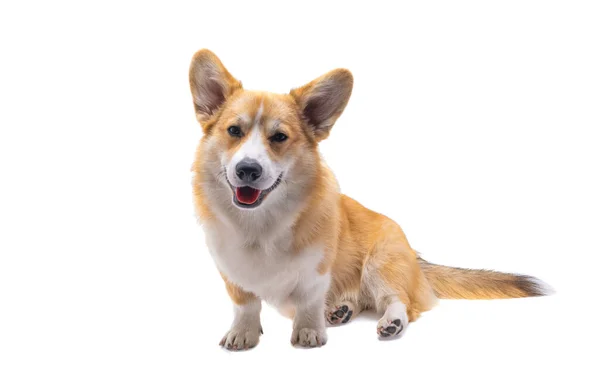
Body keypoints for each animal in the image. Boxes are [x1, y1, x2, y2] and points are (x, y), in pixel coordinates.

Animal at [189, 49, 552, 350]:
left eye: (279, 137)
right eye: (234, 131)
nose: (248, 169)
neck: (260, 224)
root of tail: (416, 256)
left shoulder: (316, 271)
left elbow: (308, 302)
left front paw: (308, 332)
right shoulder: (232, 273)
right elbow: (246, 305)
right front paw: (243, 334)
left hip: (381, 264)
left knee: (401, 301)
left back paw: (391, 322)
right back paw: (341, 311)